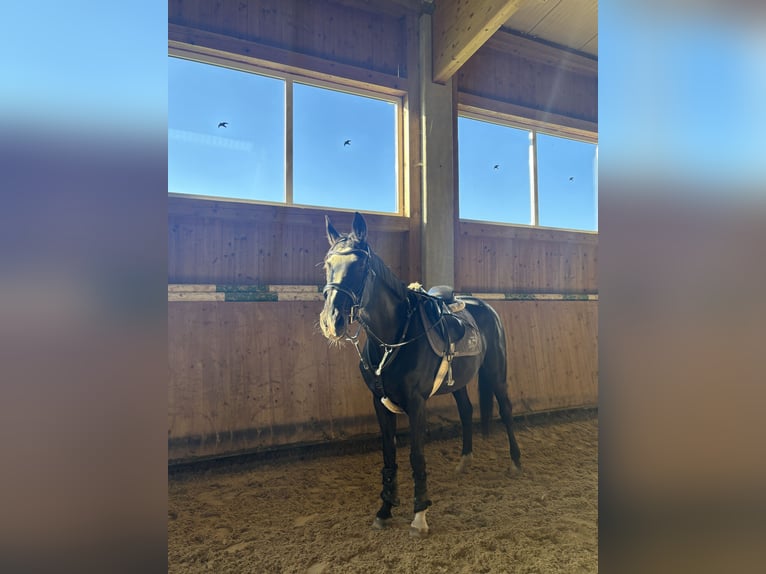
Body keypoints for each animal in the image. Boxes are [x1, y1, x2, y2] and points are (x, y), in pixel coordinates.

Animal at [319, 211, 522, 537]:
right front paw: (385, 511)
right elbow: (389, 456)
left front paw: (419, 516)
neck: (392, 339)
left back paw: (515, 462)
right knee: (467, 411)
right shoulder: (379, 403)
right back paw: (464, 462)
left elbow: (416, 456)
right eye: (328, 263)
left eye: (360, 265)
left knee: (505, 410)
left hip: (496, 372)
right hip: (459, 382)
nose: (331, 321)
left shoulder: (416, 404)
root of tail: (484, 307)